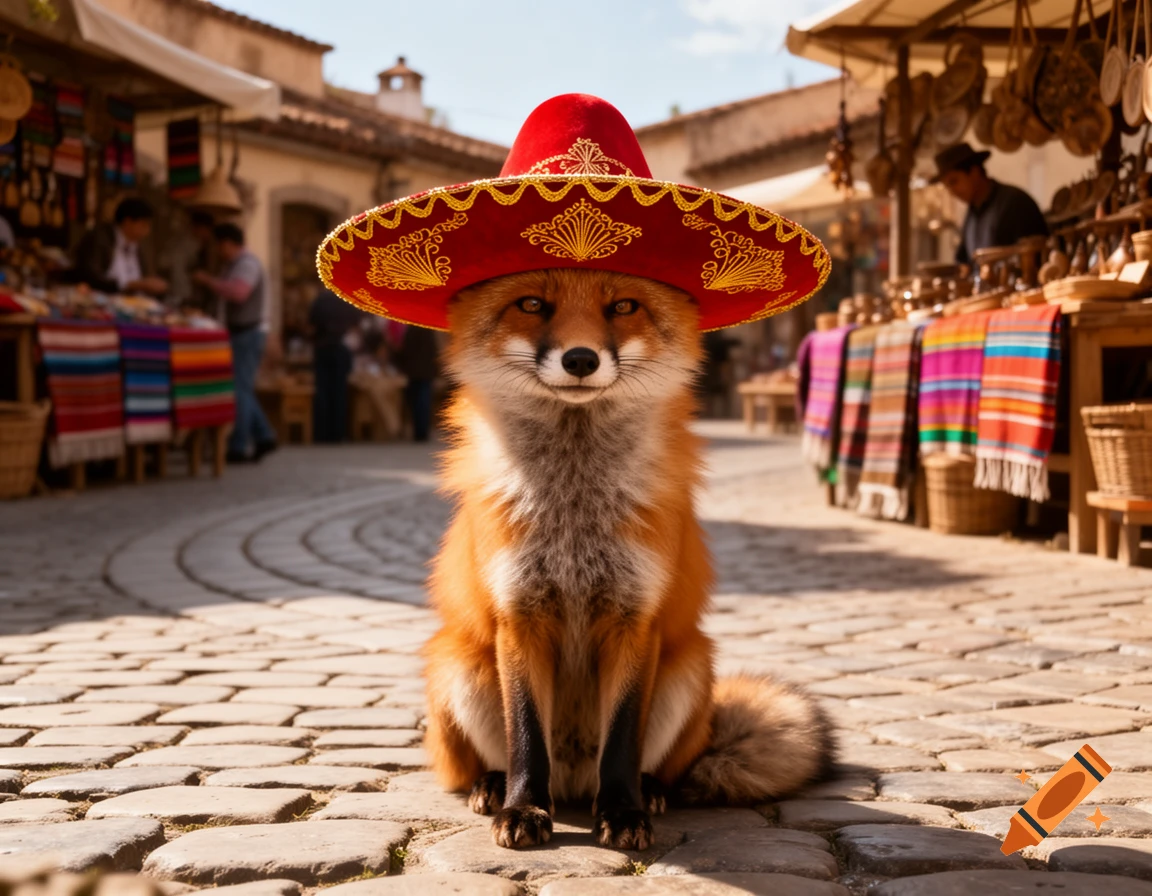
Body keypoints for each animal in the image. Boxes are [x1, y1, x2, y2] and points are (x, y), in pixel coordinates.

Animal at [423, 268, 835, 851]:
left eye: (623, 306)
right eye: (531, 304)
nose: (580, 359)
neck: (575, 515)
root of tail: (572, 781)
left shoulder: (634, 618)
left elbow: (621, 739)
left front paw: (622, 812)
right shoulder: (520, 615)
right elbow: (525, 734)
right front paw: (523, 808)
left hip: (689, 668)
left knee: (654, 766)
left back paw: (650, 792)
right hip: (458, 663)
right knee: (495, 760)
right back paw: (494, 785)